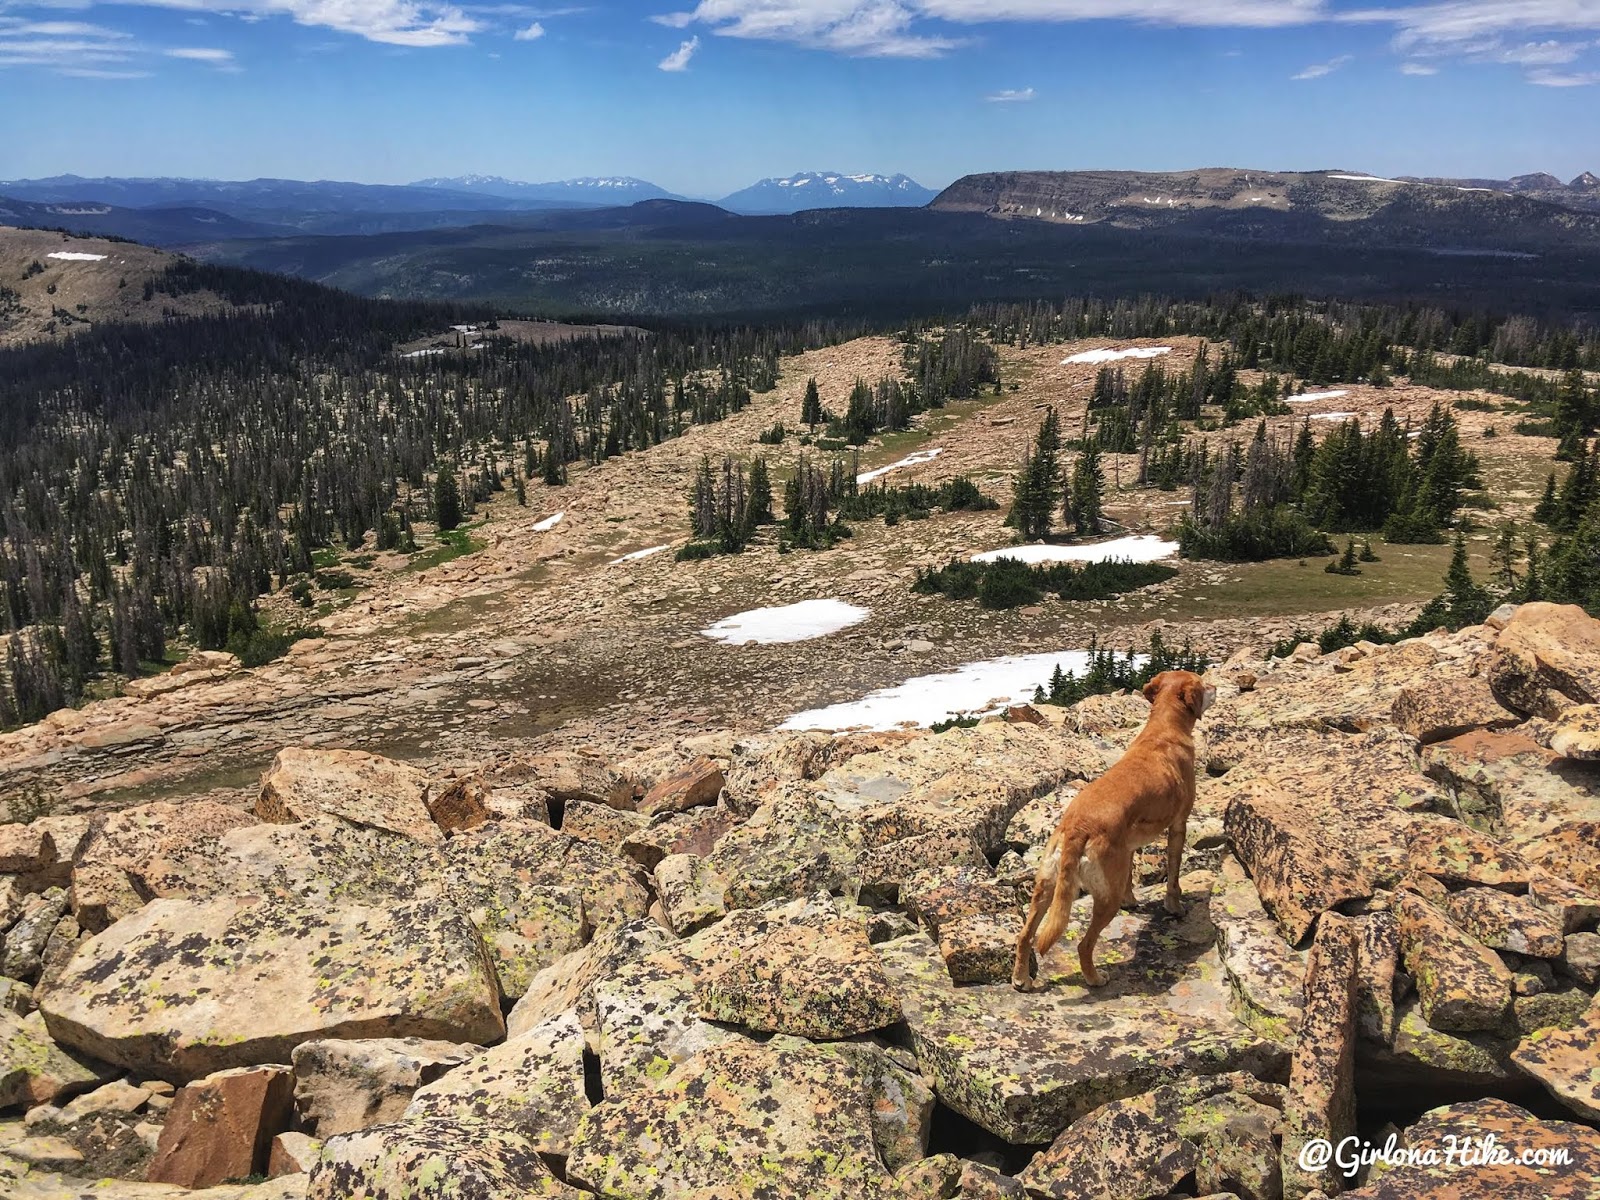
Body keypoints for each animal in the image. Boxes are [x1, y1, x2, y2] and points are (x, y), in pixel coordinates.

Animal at [1011, 668, 1209, 998]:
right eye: (1204, 685)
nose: (1215, 686)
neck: (1163, 727)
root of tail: (1075, 828)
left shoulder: (1128, 844)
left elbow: (1130, 872)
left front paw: (1133, 899)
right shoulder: (1178, 825)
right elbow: (1173, 875)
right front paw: (1175, 906)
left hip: (1046, 884)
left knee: (1026, 935)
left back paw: (1021, 979)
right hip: (1104, 898)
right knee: (1084, 944)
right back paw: (1094, 979)